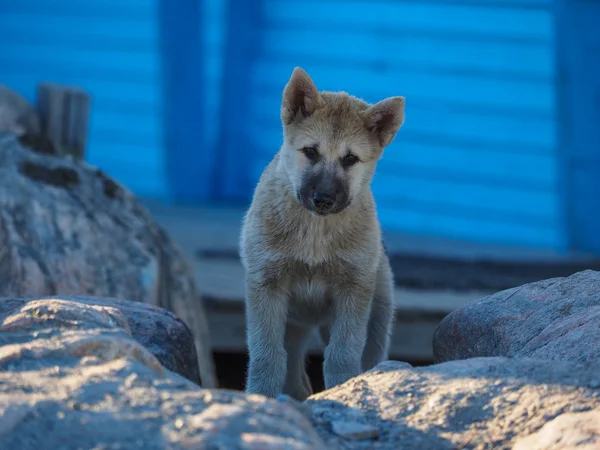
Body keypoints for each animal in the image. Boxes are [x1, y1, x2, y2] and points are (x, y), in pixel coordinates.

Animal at [238, 67, 404, 400]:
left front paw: (345, 391)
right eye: (311, 152)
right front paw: (260, 397)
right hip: (293, 327)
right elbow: (266, 357)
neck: (315, 234)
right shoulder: (266, 286)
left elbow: (342, 355)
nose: (323, 199)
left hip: (376, 320)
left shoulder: (353, 291)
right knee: (294, 378)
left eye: (350, 159)